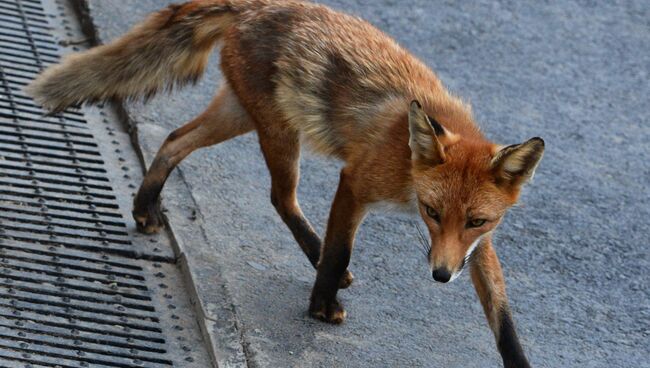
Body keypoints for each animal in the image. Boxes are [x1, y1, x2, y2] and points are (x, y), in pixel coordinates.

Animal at [26, 1, 540, 366]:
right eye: (432, 213)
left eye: (476, 220)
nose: (440, 276)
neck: (408, 164)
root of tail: (256, 5)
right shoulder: (356, 182)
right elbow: (341, 249)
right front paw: (321, 306)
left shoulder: (476, 243)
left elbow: (502, 315)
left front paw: (518, 360)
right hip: (277, 132)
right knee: (279, 197)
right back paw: (316, 259)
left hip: (239, 114)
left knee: (174, 141)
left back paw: (146, 205)